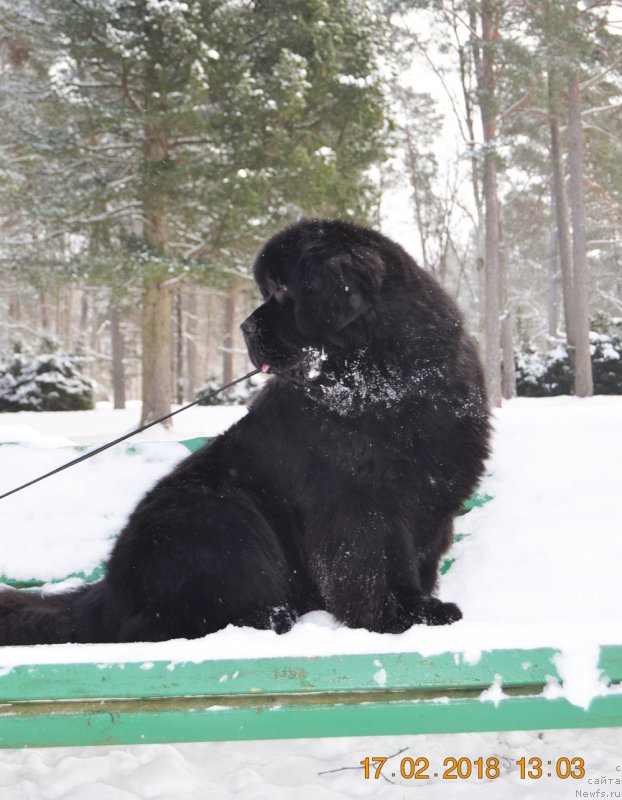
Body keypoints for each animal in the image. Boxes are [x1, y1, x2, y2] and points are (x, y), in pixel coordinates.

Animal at [0, 219, 490, 644]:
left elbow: (417, 561)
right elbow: (374, 563)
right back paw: (267, 617)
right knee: (153, 626)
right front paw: (394, 617)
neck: (392, 381)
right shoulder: (357, 505)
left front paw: (422, 605)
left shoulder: (433, 496)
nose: (245, 327)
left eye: (284, 289)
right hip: (219, 512)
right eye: (269, 290)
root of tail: (108, 592)